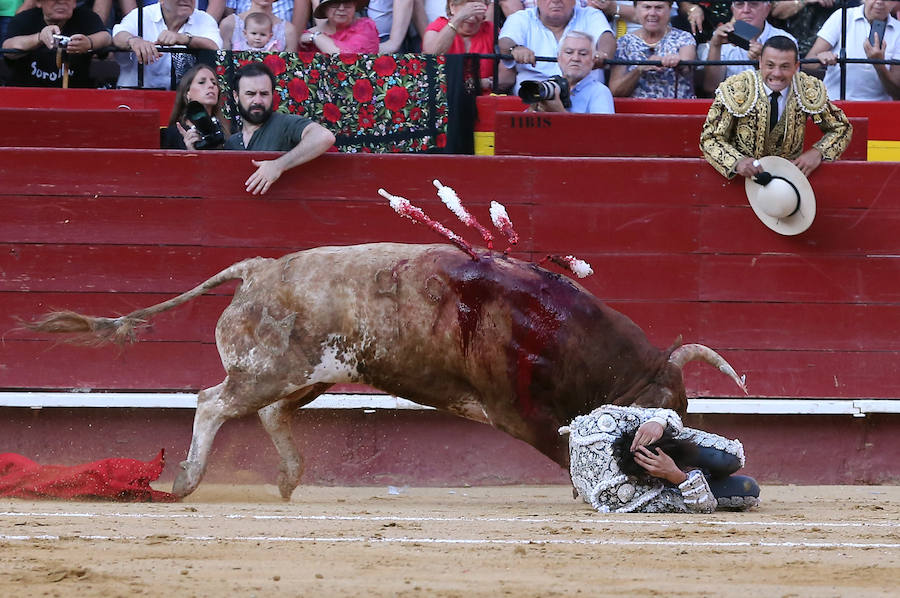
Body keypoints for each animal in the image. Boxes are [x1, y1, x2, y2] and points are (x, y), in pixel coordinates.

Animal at [28, 241, 744, 500]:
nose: (689, 452)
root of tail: (256, 270)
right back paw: (185, 481)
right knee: (213, 401)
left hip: (308, 375)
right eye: (673, 409)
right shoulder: (520, 414)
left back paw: (288, 479)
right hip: (268, 368)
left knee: (266, 412)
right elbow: (558, 444)